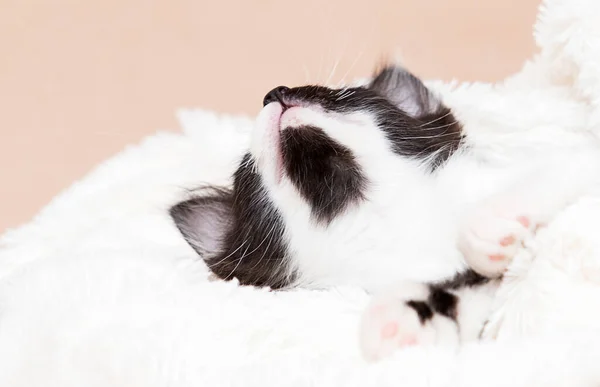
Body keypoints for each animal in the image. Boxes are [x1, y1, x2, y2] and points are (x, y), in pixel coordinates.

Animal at [170, 66, 600, 360]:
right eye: (247, 169)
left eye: (343, 97)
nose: (275, 91)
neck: (395, 218)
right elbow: (462, 301)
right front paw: (402, 316)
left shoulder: (574, 161)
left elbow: (555, 169)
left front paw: (490, 222)